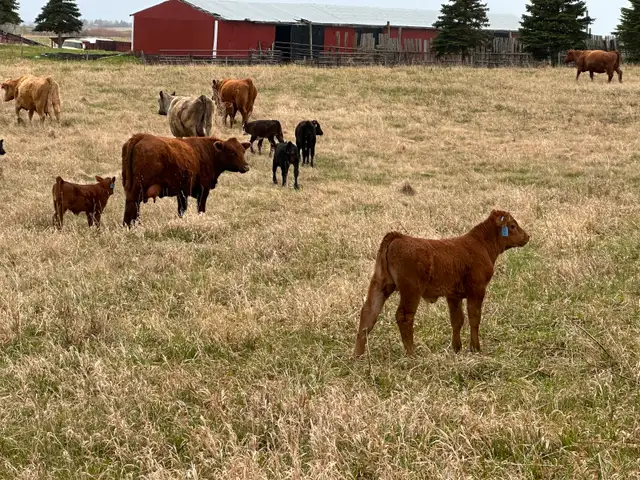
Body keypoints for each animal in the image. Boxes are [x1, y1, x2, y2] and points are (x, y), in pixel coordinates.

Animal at [121, 133, 251, 226]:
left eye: (243, 151)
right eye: (231, 152)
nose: (246, 167)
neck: (208, 152)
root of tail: (142, 136)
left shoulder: (182, 192)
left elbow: (181, 210)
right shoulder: (203, 190)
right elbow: (200, 209)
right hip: (138, 187)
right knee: (133, 204)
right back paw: (129, 226)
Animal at [353, 210, 530, 358]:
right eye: (512, 226)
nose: (527, 237)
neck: (482, 246)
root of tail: (398, 236)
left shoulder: (453, 295)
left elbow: (457, 320)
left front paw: (456, 348)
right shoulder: (477, 289)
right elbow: (474, 317)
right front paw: (475, 348)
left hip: (380, 284)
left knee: (369, 312)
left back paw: (358, 355)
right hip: (411, 290)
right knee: (403, 316)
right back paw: (412, 353)